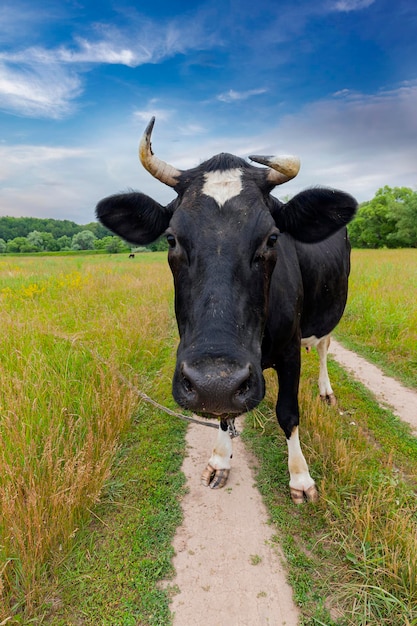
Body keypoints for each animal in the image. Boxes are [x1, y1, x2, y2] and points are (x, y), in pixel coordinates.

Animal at [96, 117, 356, 502]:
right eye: (171, 238)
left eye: (272, 238)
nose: (214, 382)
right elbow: (222, 414)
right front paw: (220, 459)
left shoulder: (291, 350)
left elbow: (288, 412)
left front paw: (300, 477)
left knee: (324, 346)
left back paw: (325, 390)